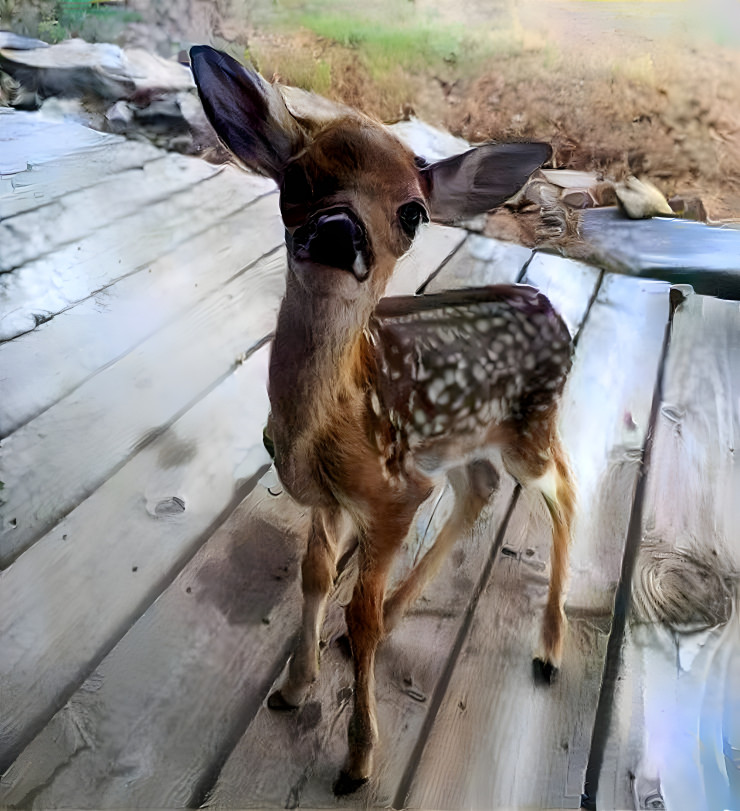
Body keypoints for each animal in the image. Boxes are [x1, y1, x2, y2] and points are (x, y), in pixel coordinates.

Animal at [192, 47, 580, 796]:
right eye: (298, 176)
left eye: (413, 213)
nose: (340, 230)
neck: (322, 424)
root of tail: (554, 310)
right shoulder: (330, 496)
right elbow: (315, 575)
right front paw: (295, 686)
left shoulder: (393, 494)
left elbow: (358, 612)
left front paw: (358, 759)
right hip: (464, 437)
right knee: (480, 489)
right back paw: (410, 607)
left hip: (532, 426)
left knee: (566, 495)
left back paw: (549, 648)